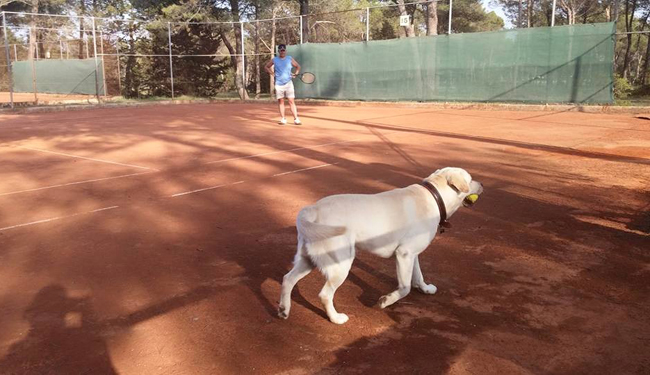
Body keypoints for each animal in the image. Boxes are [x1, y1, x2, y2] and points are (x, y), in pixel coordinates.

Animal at [276, 167, 484, 324]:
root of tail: (312, 210)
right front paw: (386, 301)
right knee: (325, 294)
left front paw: (425, 289)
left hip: (308, 260)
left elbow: (418, 276)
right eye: (471, 179)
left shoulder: (412, 254)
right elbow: (405, 288)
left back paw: (284, 310)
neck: (434, 196)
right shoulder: (404, 254)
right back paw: (336, 318)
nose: (483, 184)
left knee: (288, 279)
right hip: (341, 264)